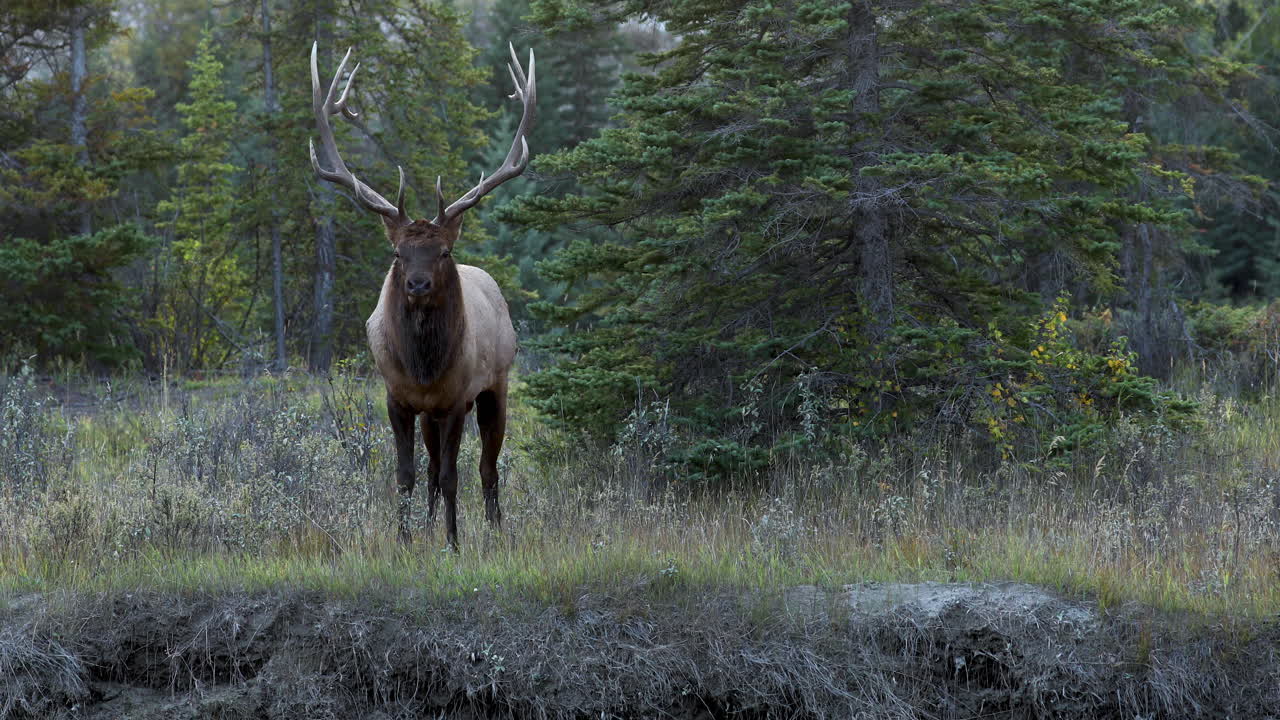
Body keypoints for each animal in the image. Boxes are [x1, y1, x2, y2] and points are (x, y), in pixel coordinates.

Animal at [309, 41, 533, 549]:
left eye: (443, 251)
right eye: (398, 251)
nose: (417, 284)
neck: (424, 367)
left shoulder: (455, 400)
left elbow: (453, 476)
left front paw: (453, 543)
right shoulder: (398, 398)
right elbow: (407, 475)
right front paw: (407, 540)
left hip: (497, 386)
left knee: (487, 468)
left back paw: (494, 528)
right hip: (432, 414)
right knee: (432, 468)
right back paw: (431, 526)